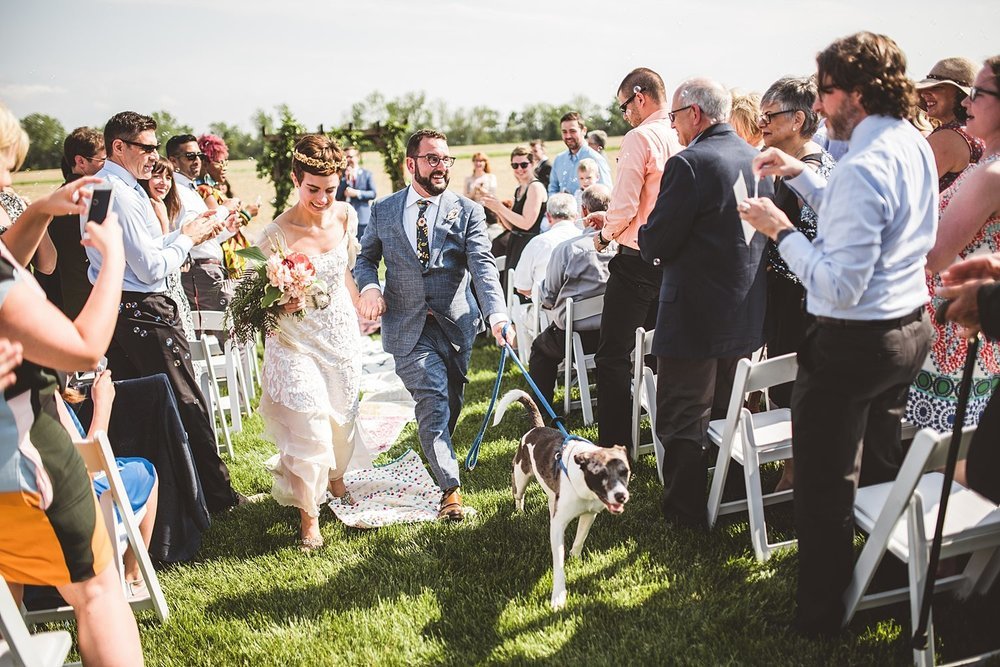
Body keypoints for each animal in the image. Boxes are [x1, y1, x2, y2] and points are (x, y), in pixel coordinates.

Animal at [494, 388, 632, 608]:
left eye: (624, 471)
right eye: (600, 474)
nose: (621, 496)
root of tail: (536, 428)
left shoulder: (589, 514)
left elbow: (579, 539)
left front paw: (574, 559)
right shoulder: (559, 526)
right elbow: (558, 561)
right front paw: (558, 597)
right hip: (520, 475)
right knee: (518, 495)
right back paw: (519, 511)